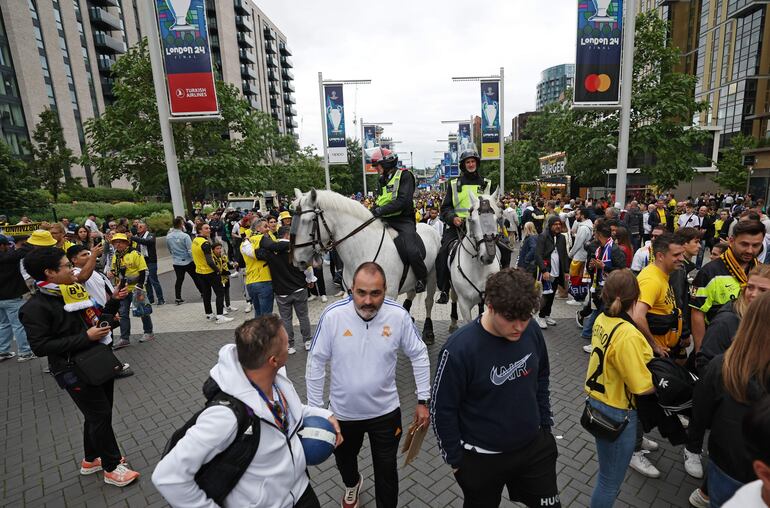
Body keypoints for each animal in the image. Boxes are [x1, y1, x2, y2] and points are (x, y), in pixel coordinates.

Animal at [292, 189, 440, 344]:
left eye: (308, 221)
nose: (298, 261)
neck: (363, 249)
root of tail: (430, 228)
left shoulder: (387, 296)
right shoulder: (353, 294)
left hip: (432, 275)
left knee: (428, 301)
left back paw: (428, 331)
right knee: (411, 294)